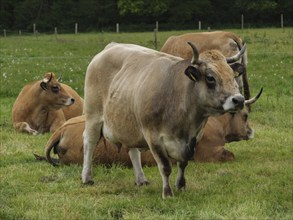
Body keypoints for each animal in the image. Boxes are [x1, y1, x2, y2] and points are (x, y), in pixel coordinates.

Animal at [81, 42, 249, 199]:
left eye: (232, 74)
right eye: (210, 77)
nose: (239, 100)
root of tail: (111, 47)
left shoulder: (194, 137)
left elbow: (183, 163)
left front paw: (181, 185)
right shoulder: (153, 137)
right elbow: (165, 167)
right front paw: (167, 193)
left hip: (128, 125)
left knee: (133, 150)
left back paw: (140, 179)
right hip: (93, 116)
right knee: (89, 143)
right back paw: (86, 177)